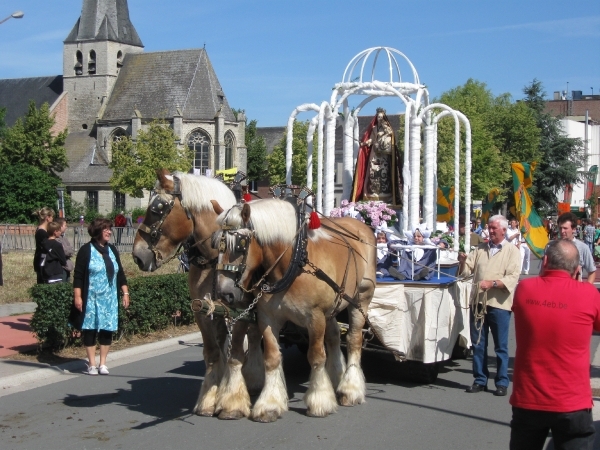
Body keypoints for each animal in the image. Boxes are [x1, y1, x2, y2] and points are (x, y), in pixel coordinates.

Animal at [132, 169, 264, 418]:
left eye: (156, 209)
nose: (137, 256)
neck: (214, 259)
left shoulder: (241, 309)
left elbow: (234, 353)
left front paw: (231, 402)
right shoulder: (203, 311)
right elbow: (214, 352)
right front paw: (211, 398)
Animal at [213, 197, 378, 422]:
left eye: (240, 245)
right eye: (215, 245)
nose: (224, 293)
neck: (294, 264)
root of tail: (361, 225)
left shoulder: (315, 317)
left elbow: (316, 355)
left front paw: (319, 401)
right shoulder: (268, 318)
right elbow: (272, 357)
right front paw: (270, 404)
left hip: (361, 299)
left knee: (353, 340)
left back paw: (350, 389)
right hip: (333, 307)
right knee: (334, 337)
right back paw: (336, 377)